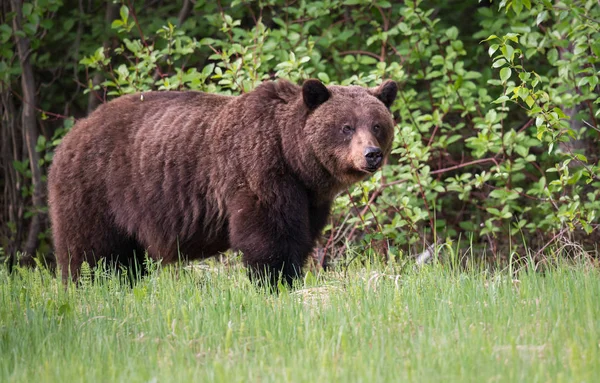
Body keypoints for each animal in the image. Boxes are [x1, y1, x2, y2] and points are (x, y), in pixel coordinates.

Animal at [49, 79, 398, 286]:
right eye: (346, 127)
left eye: (377, 125)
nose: (371, 155)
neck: (294, 157)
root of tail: (70, 133)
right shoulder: (258, 170)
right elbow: (270, 233)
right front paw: (276, 279)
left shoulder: (310, 197)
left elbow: (302, 234)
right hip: (98, 188)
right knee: (92, 249)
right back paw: (89, 283)